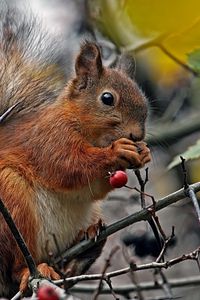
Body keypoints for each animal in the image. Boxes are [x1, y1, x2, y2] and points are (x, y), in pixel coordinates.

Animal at [0, 7, 151, 298]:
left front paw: (144, 152)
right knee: (14, 267)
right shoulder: (50, 139)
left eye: (144, 101)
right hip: (9, 202)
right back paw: (31, 271)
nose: (137, 136)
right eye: (107, 98)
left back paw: (82, 252)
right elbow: (68, 167)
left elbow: (90, 188)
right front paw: (116, 151)